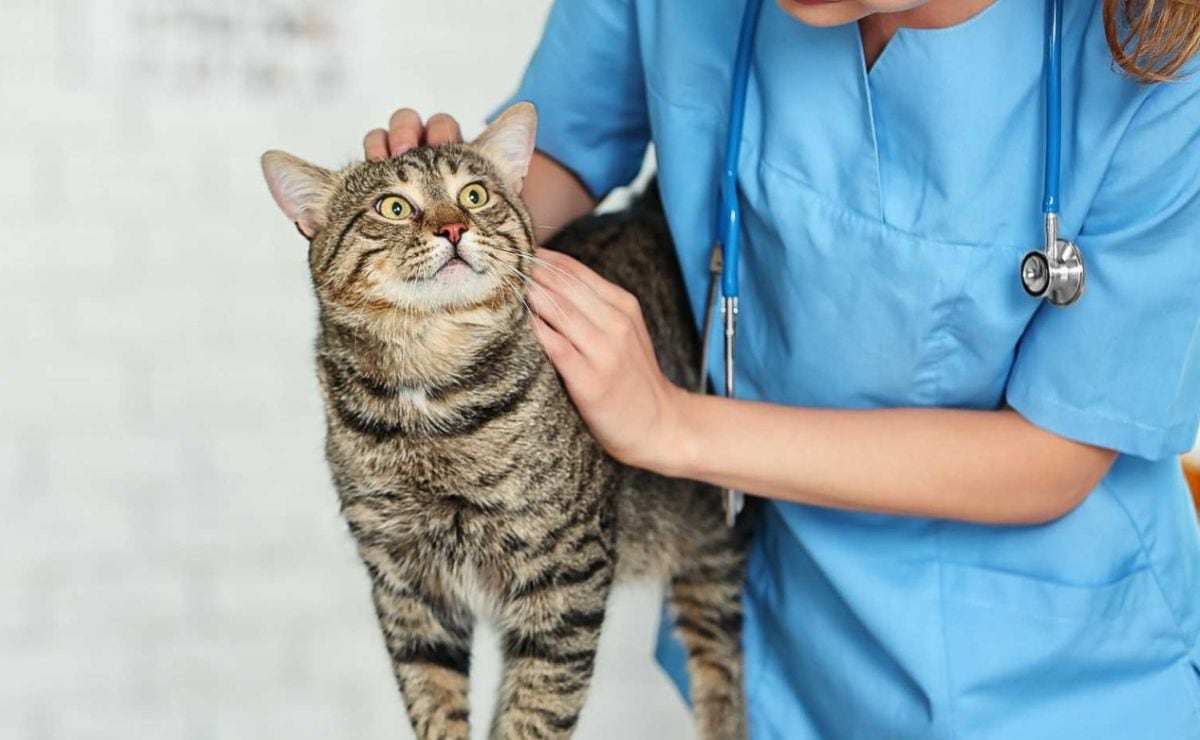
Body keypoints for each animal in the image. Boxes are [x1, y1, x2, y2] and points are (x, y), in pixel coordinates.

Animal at [264, 103, 748, 738]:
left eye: (473, 195)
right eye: (393, 207)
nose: (453, 229)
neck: (430, 396)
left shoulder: (566, 572)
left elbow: (536, 709)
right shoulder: (405, 585)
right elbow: (435, 700)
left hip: (713, 540)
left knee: (722, 664)